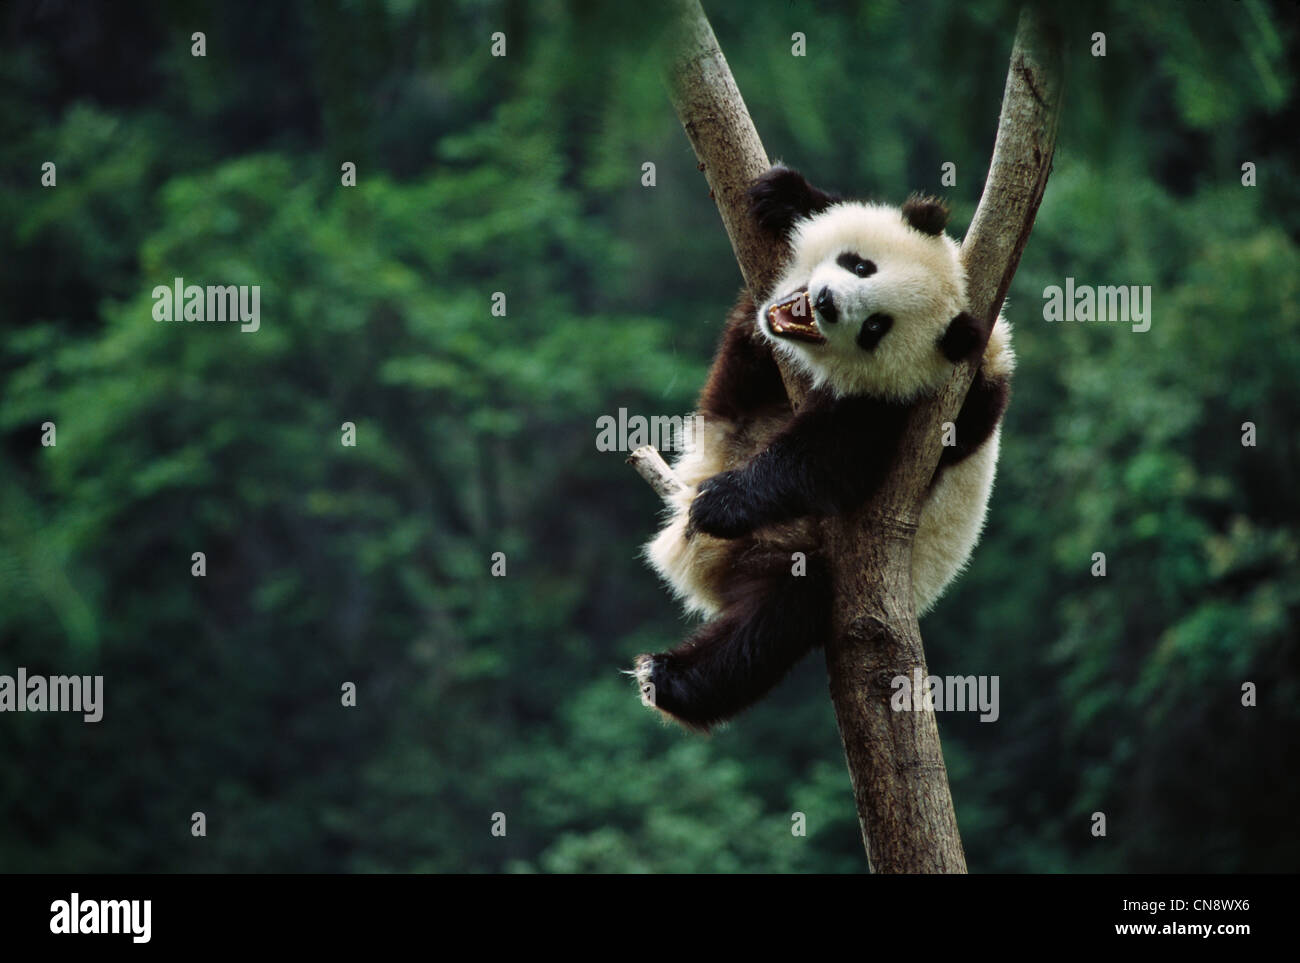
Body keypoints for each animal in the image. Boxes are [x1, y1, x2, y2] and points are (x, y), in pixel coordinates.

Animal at [633, 165, 1014, 732]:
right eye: (860, 264)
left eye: (876, 327)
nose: (829, 301)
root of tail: (699, 567)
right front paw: (786, 197)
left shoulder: (925, 410)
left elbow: (832, 459)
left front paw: (723, 502)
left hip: (784, 557)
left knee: (778, 615)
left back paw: (671, 680)